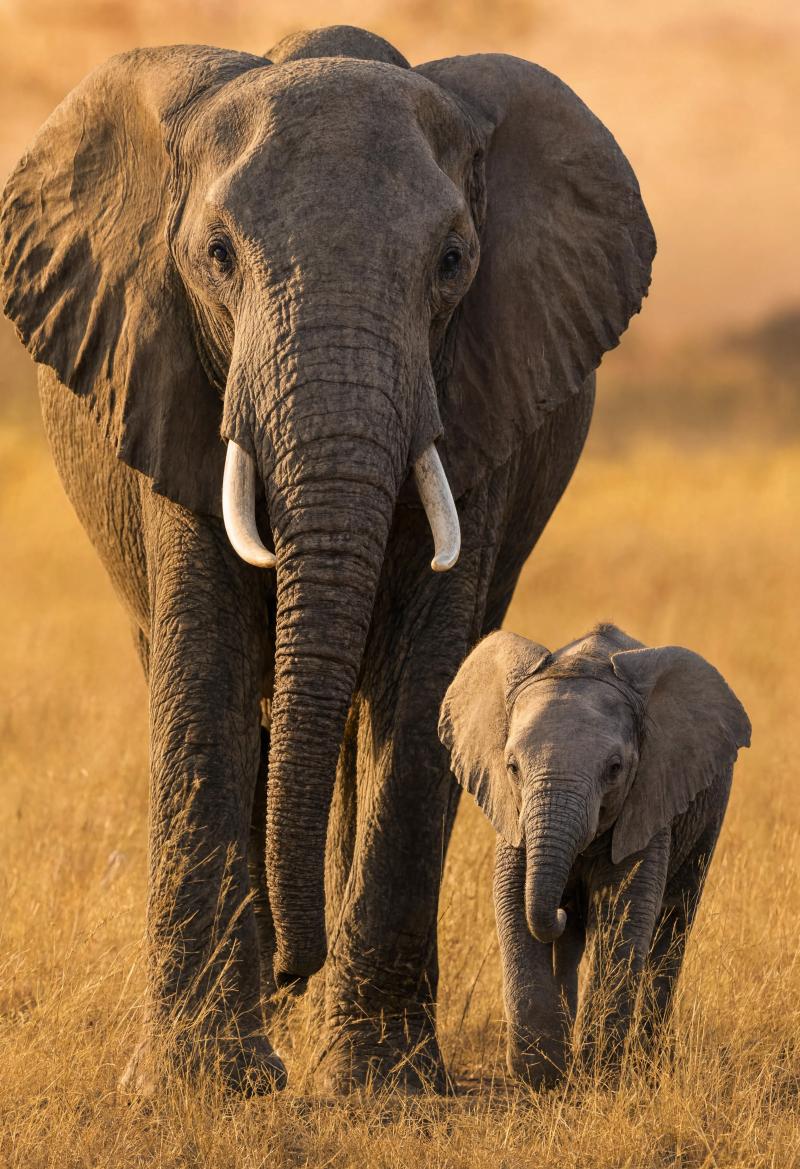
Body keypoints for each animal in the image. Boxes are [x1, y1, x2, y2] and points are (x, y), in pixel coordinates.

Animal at [0, 25, 655, 1093]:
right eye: (216, 256)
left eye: (453, 260)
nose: (292, 963)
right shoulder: (169, 375)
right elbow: (205, 664)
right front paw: (209, 1083)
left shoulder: (479, 392)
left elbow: (427, 677)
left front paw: (380, 1084)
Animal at [439, 623, 751, 1086]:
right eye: (512, 767)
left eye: (615, 769)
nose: (562, 907)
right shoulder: (511, 811)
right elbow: (512, 897)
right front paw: (541, 1074)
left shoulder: (648, 798)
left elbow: (624, 906)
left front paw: (598, 1075)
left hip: (708, 809)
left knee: (674, 920)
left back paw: (648, 1064)